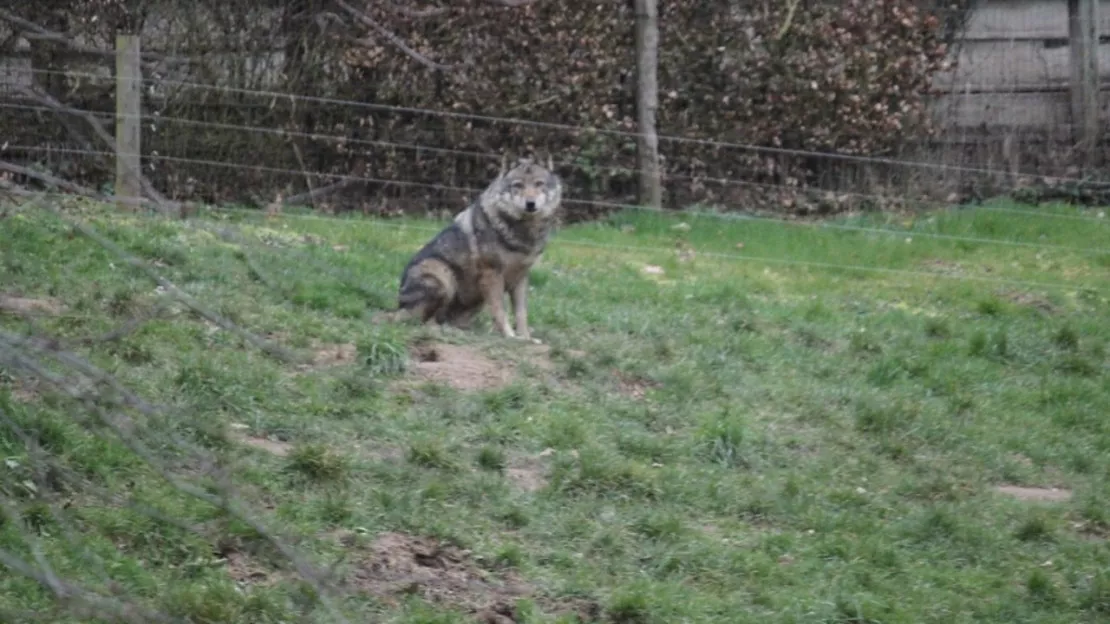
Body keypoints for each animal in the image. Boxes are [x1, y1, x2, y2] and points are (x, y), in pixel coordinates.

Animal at [390, 153, 563, 341]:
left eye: (539, 184)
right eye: (518, 185)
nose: (530, 203)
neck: (523, 232)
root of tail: (399, 305)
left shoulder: (521, 278)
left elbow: (521, 313)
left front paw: (526, 338)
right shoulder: (492, 274)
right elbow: (500, 311)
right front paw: (509, 336)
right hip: (443, 276)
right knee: (424, 323)